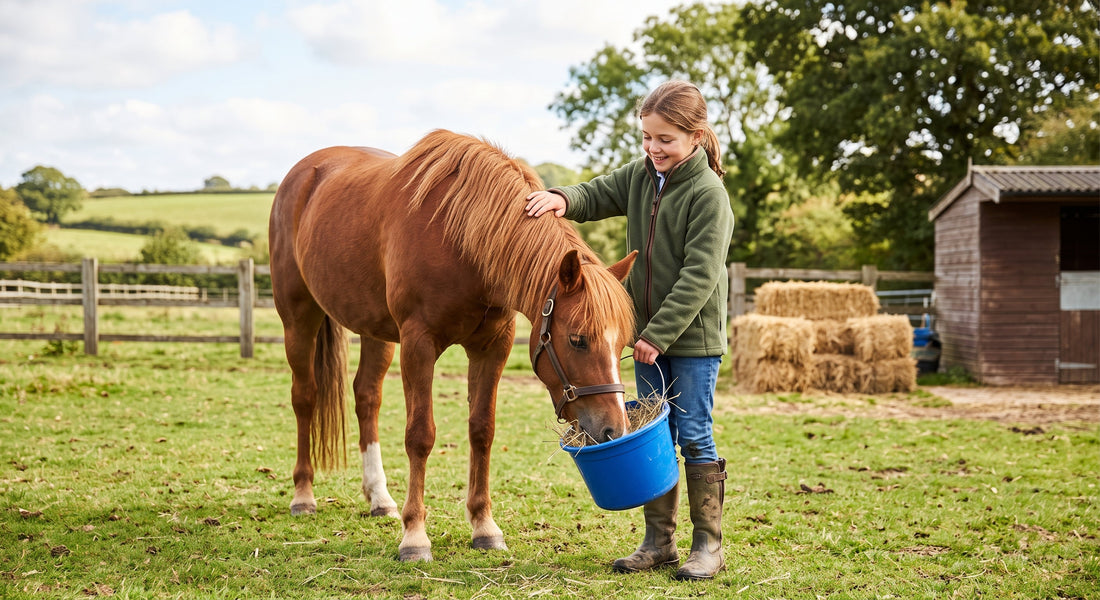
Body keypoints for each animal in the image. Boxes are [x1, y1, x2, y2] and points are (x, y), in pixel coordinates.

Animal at [268, 129, 637, 562]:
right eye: (578, 339)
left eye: (622, 345)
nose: (615, 429)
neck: (462, 241)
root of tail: (304, 175)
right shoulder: (418, 344)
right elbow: (420, 435)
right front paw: (414, 536)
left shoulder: (493, 346)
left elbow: (482, 430)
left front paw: (484, 526)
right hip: (299, 318)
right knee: (305, 397)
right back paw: (303, 495)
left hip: (375, 332)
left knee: (367, 397)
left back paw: (379, 498)